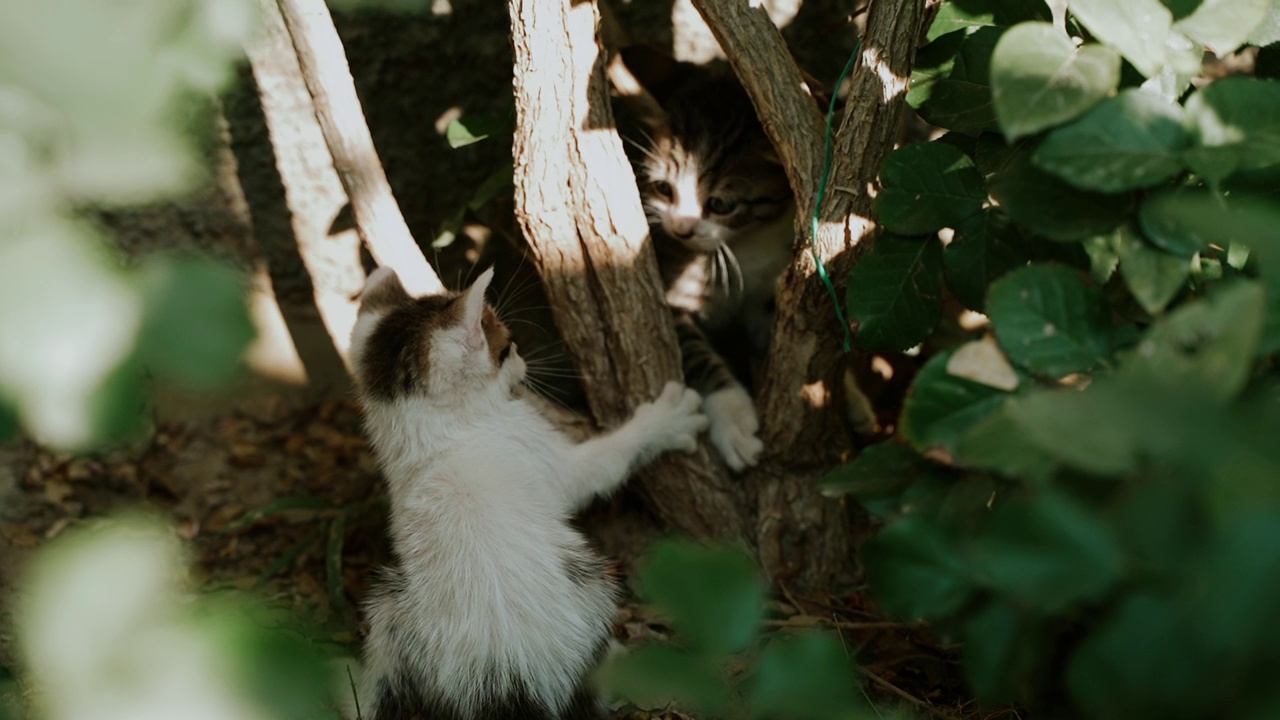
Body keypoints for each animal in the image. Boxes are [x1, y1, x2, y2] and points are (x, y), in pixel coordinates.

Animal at [348, 265, 711, 717]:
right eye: (505, 348)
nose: (520, 354)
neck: (437, 438)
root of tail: (504, 684)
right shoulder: (548, 458)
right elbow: (608, 460)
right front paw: (666, 420)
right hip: (592, 586)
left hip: (388, 610)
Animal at [614, 46, 793, 471]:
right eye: (663, 188)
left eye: (721, 204)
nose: (680, 228)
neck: (745, 243)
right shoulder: (669, 291)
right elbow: (697, 354)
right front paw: (733, 418)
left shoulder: (769, 287)